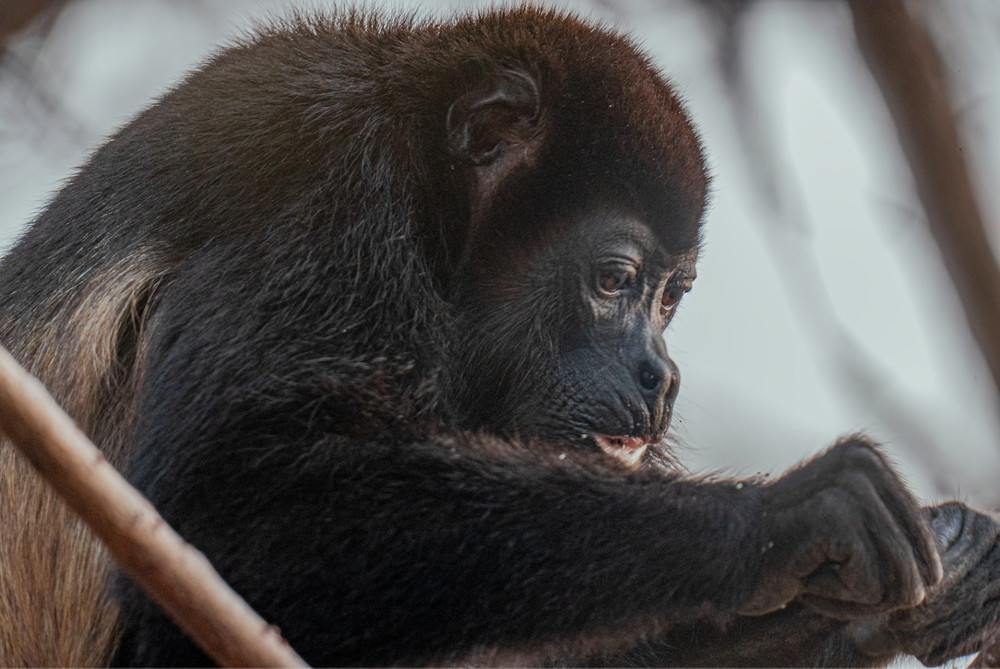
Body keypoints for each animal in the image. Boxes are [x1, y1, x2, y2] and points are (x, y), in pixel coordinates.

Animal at [1, 7, 998, 667]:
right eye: (615, 281)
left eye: (671, 299)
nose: (661, 374)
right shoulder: (323, 196)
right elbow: (215, 507)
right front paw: (785, 516)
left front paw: (911, 594)